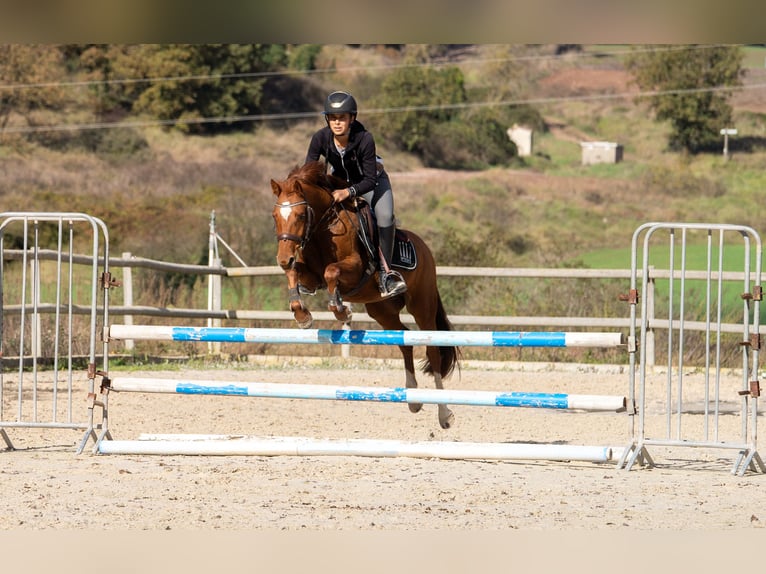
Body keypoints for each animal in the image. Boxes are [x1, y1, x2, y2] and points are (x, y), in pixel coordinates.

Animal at [270, 161, 460, 429]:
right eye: (275, 216)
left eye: (299, 215)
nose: (283, 258)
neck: (322, 229)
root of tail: (425, 248)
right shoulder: (309, 275)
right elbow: (295, 274)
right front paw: (302, 316)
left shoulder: (356, 269)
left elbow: (331, 271)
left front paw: (341, 310)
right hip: (382, 310)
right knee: (404, 340)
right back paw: (413, 400)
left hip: (422, 305)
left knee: (432, 349)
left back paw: (444, 414)